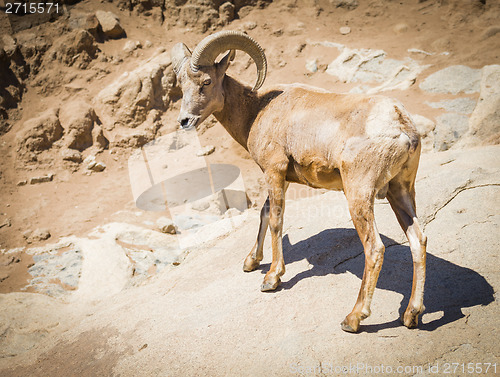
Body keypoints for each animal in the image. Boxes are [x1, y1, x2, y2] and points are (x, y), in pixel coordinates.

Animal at [171, 31, 426, 332]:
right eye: (181, 84)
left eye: (207, 82)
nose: (185, 121)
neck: (256, 111)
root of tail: (402, 127)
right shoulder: (281, 177)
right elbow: (264, 212)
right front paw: (251, 262)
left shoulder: (274, 171)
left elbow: (275, 220)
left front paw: (271, 278)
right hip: (401, 192)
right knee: (418, 240)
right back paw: (411, 315)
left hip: (359, 196)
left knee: (374, 249)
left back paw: (353, 318)